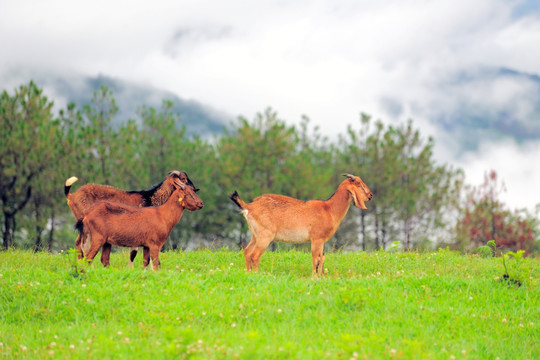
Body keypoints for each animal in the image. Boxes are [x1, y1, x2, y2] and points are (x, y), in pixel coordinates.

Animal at [63, 170, 198, 262]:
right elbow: (134, 253)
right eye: (183, 179)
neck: (149, 198)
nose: (195, 189)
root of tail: (71, 195)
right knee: (80, 243)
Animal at [228, 174, 372, 276]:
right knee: (254, 255)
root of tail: (249, 207)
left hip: (255, 235)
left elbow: (322, 258)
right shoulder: (316, 239)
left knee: (247, 252)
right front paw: (314, 277)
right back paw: (257, 274)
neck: (329, 209)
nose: (370, 195)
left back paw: (249, 273)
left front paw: (321, 277)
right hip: (265, 236)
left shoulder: (322, 241)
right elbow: (315, 258)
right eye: (358, 184)